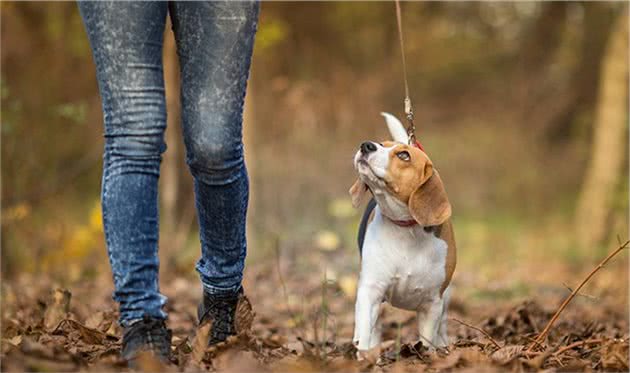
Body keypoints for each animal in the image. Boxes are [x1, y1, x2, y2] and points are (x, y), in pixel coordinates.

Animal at [350, 112, 460, 350]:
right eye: (381, 144)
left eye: (403, 155)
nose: (366, 145)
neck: (406, 230)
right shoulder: (370, 290)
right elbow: (366, 330)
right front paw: (364, 353)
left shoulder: (432, 303)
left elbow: (427, 340)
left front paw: (429, 353)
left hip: (446, 297)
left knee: (442, 326)